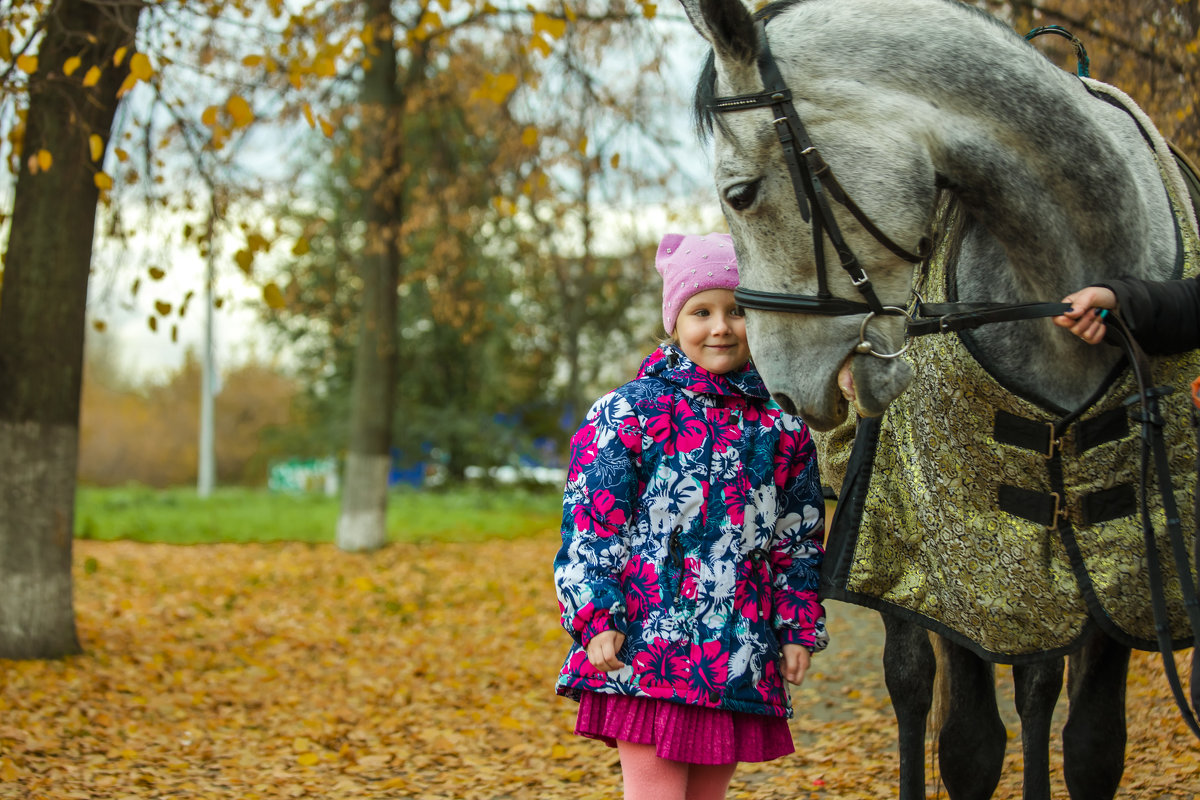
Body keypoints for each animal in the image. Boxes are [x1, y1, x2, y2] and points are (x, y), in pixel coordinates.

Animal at [681, 0, 1195, 796]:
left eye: (740, 194)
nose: (783, 383)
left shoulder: (1130, 566)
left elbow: (1090, 742)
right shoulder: (955, 557)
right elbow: (970, 743)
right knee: (915, 682)